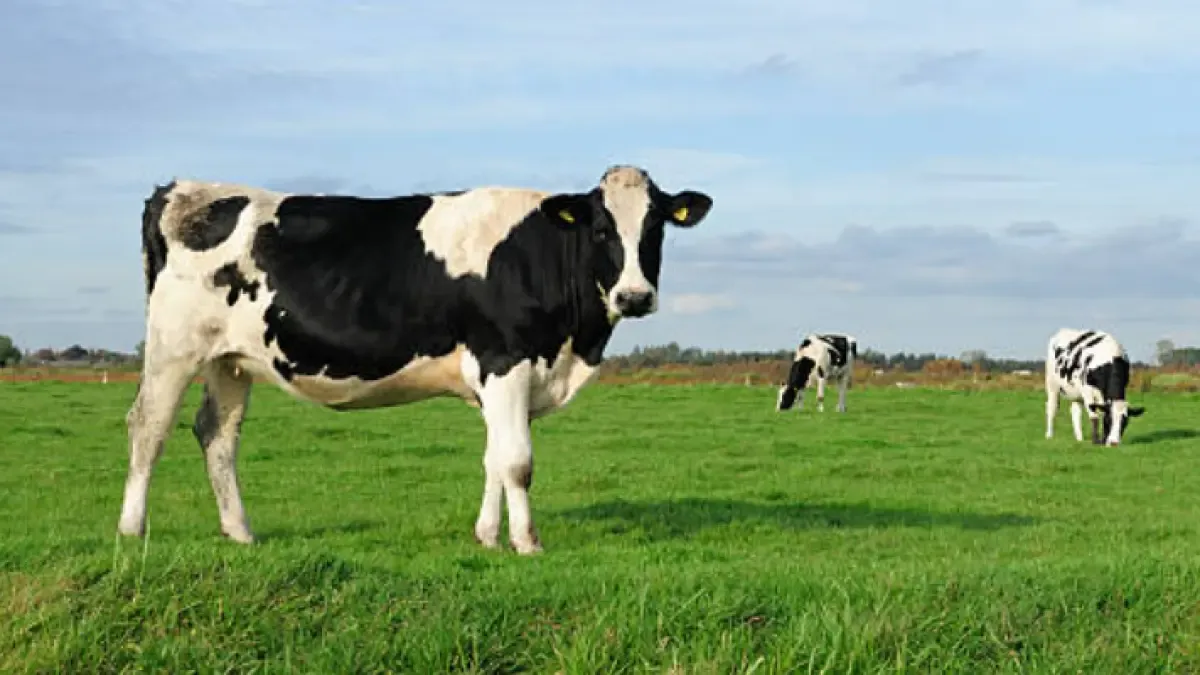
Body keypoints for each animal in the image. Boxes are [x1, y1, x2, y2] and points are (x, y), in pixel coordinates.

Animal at [116, 165, 713, 555]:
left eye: (655, 227)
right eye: (601, 229)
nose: (634, 297)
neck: (572, 346)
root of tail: (180, 189)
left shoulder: (496, 379)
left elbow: (493, 458)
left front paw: (487, 537)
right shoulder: (505, 360)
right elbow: (517, 462)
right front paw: (526, 542)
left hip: (231, 360)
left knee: (216, 434)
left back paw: (240, 532)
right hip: (173, 347)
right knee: (149, 426)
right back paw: (132, 530)